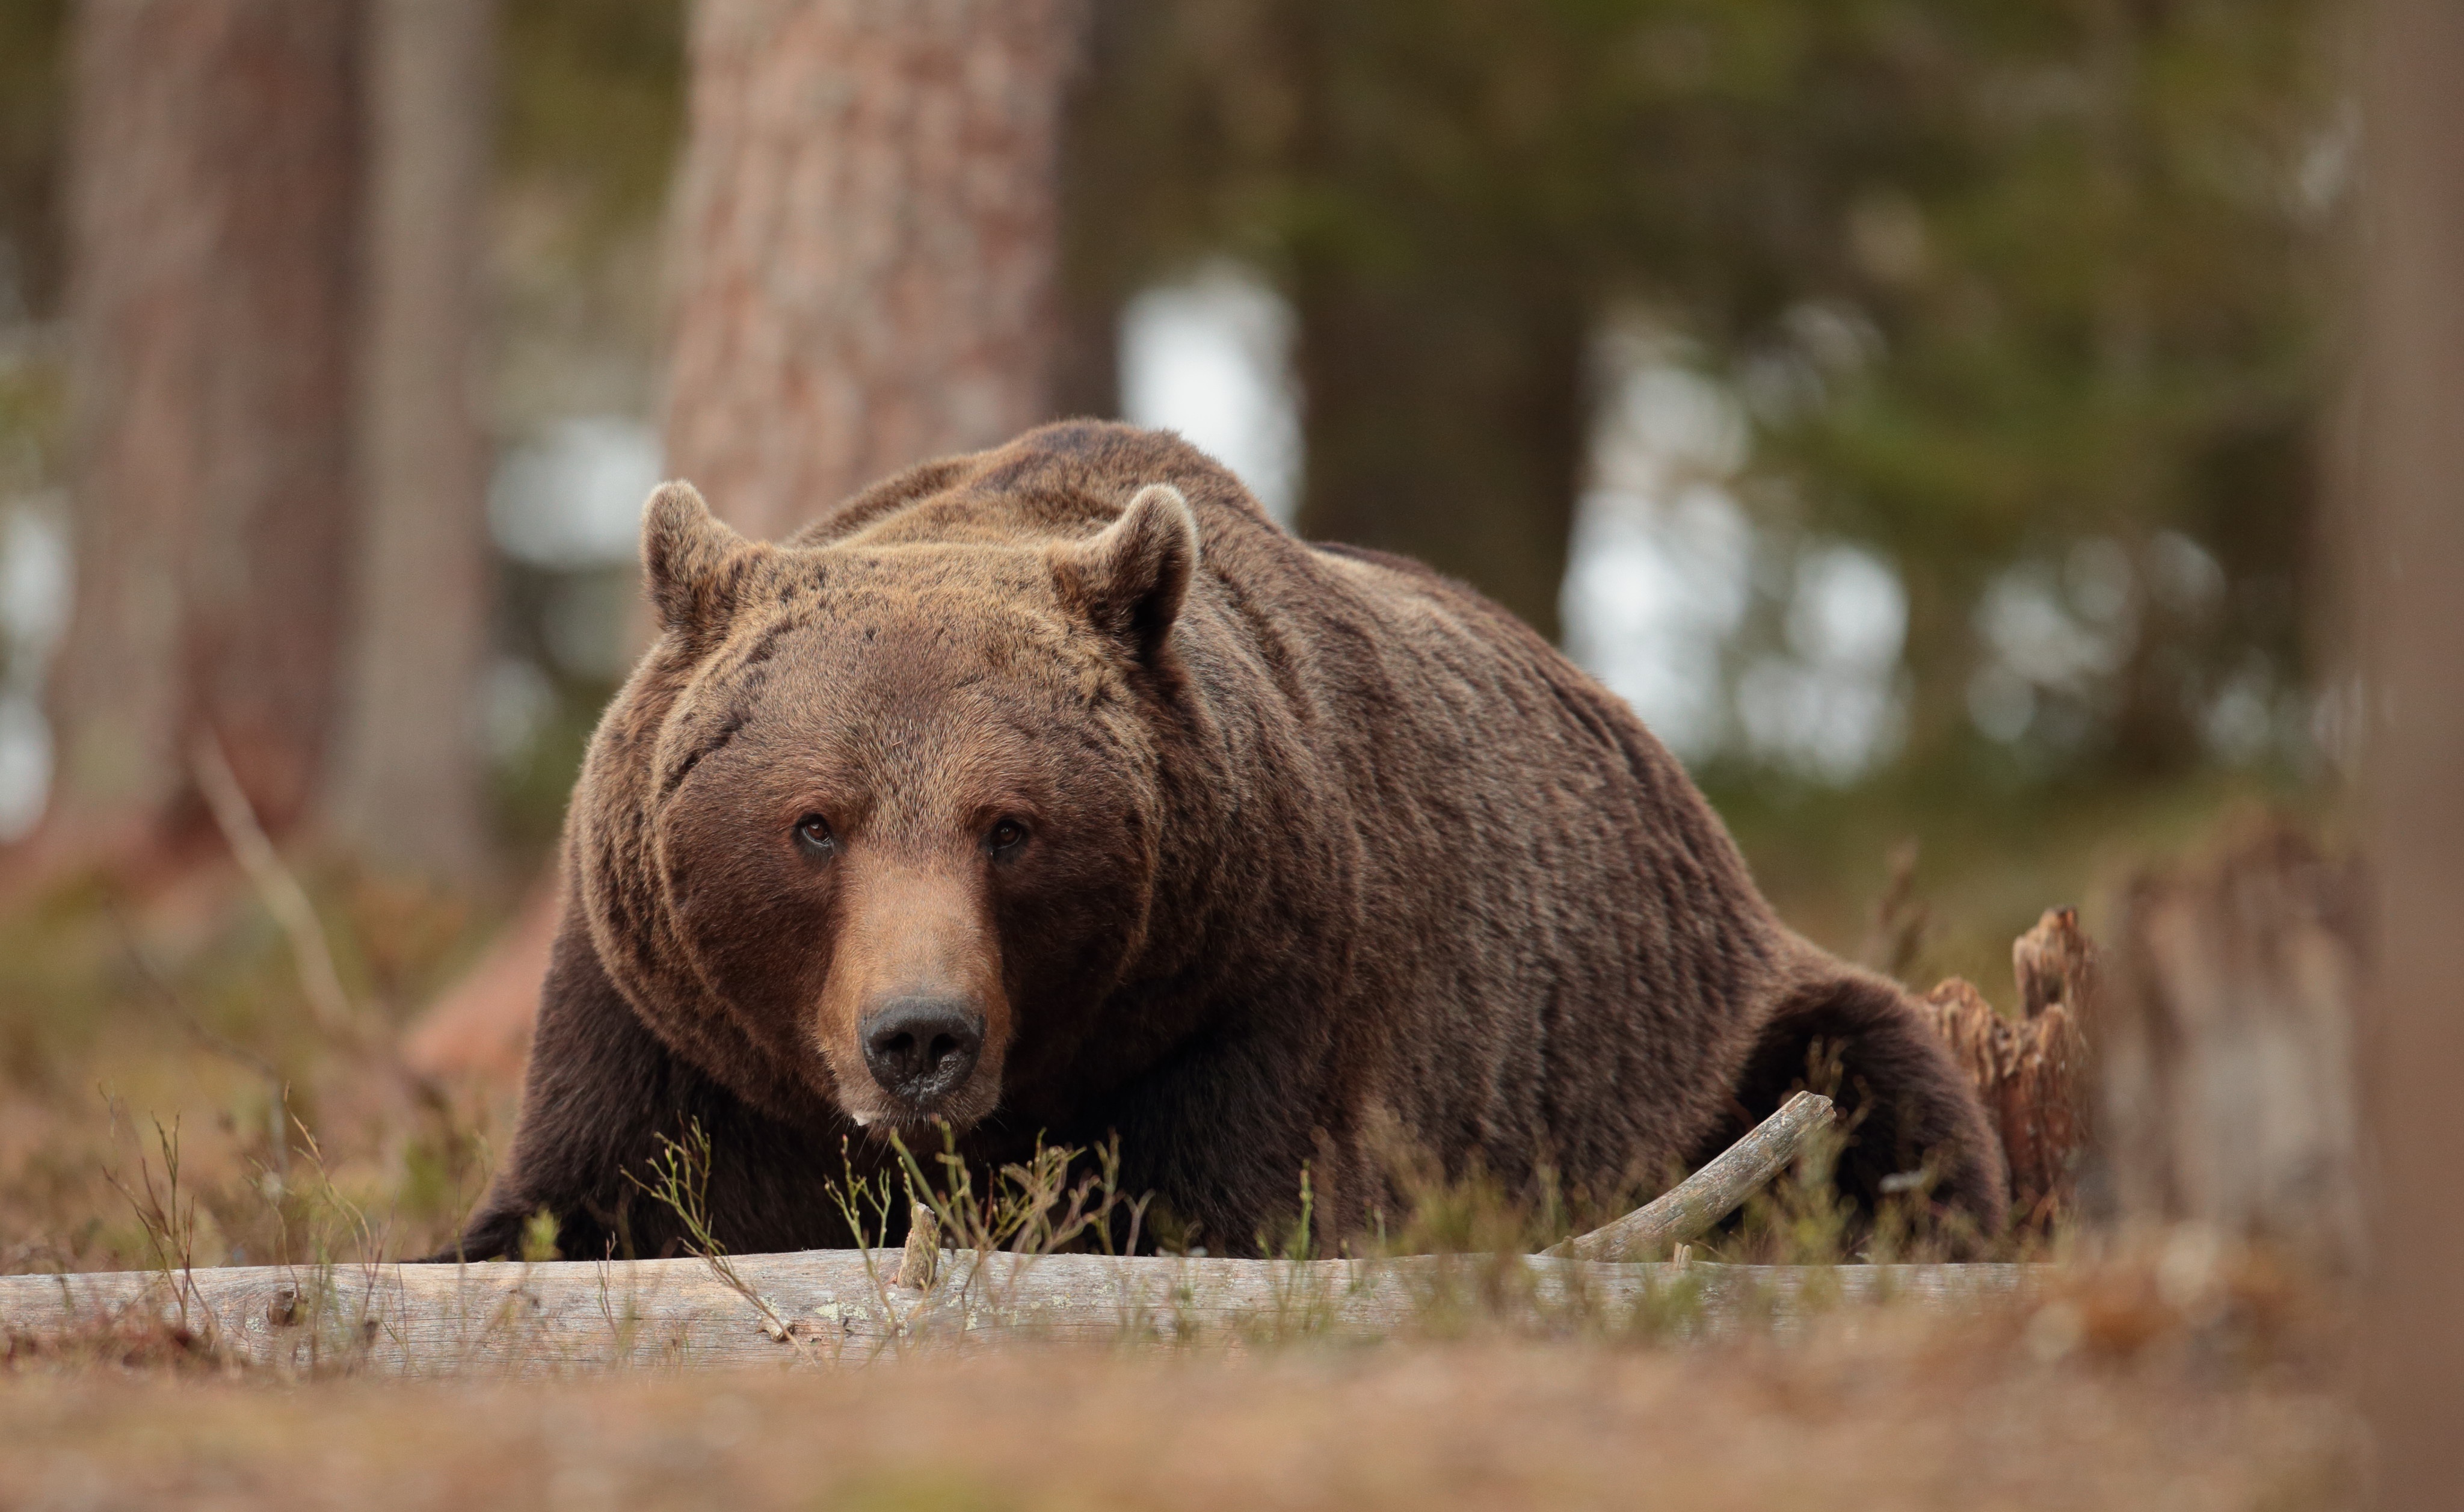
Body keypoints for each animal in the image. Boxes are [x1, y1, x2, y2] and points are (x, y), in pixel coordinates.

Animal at [444, 420, 2005, 1262]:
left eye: (1009, 826)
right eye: (813, 823)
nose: (919, 1035)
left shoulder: (1257, 990)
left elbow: (1228, 1214)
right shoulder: (667, 1028)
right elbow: (573, 1209)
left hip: (1699, 1045)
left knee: (1872, 1101)